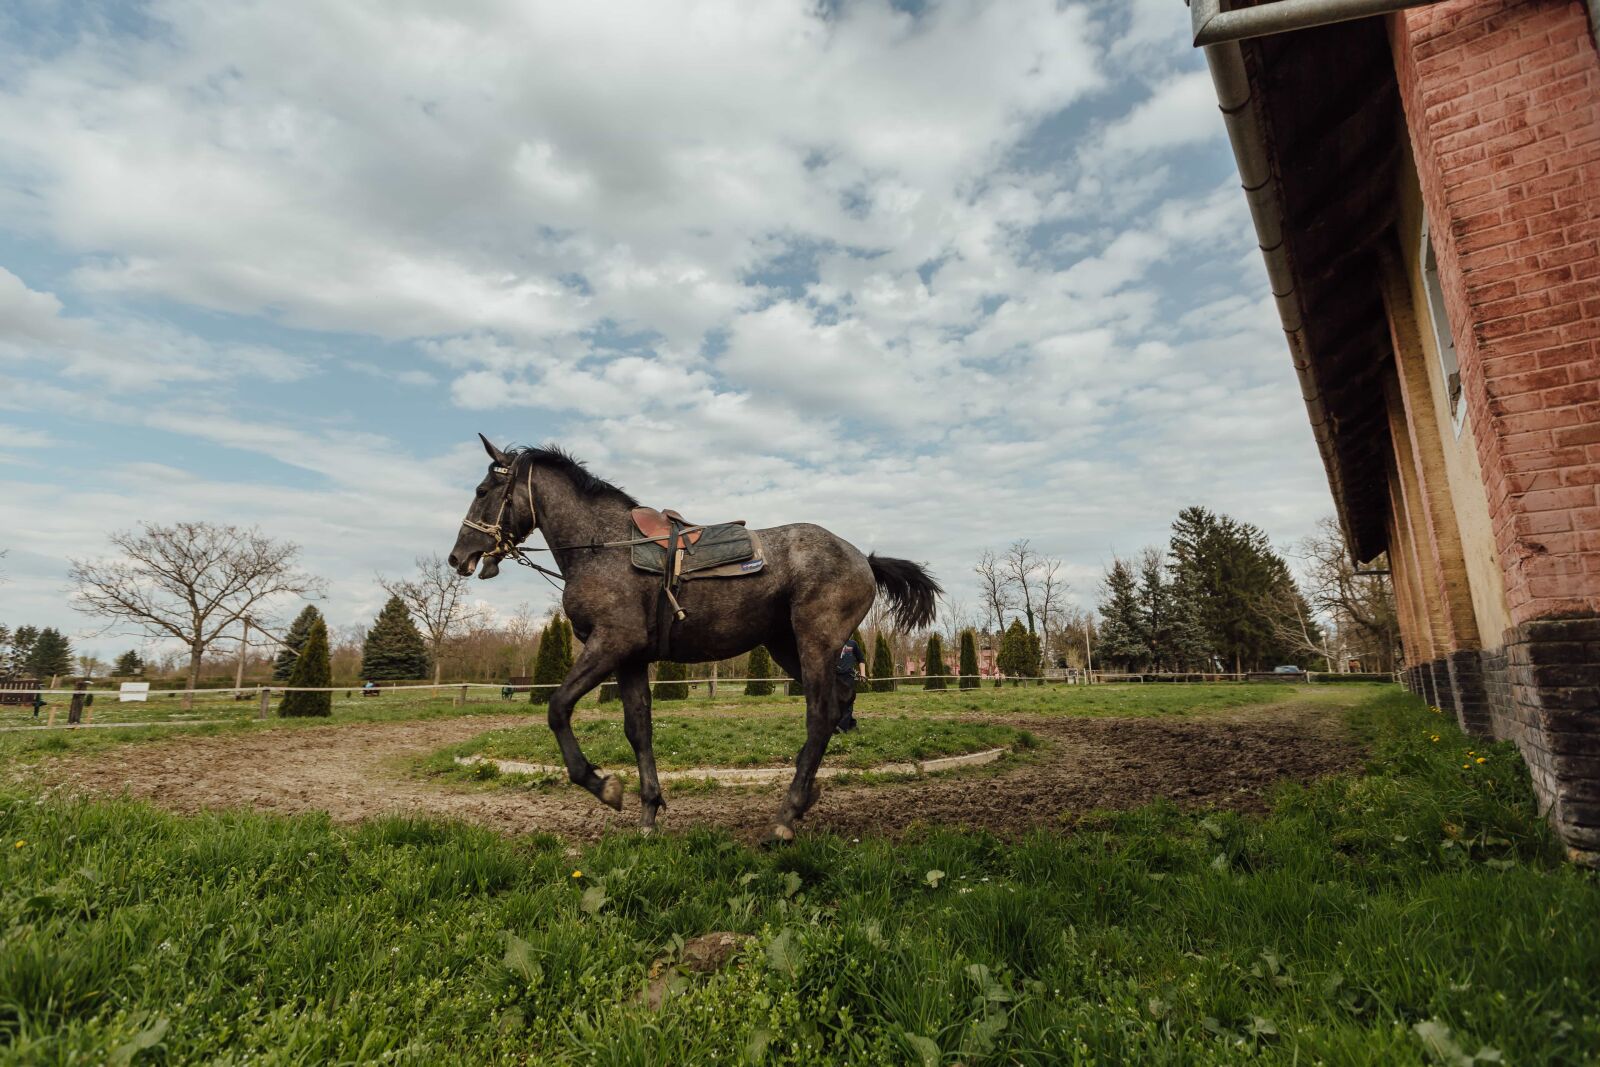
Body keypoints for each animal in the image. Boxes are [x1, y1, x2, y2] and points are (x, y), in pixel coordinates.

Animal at [447, 434, 940, 844]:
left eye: (482, 492)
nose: (458, 556)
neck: (604, 546)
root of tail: (863, 558)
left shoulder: (610, 643)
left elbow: (557, 707)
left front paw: (603, 785)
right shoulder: (629, 659)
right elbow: (638, 729)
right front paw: (648, 812)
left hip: (814, 642)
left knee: (820, 715)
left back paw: (786, 815)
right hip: (786, 646)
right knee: (837, 704)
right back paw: (804, 794)